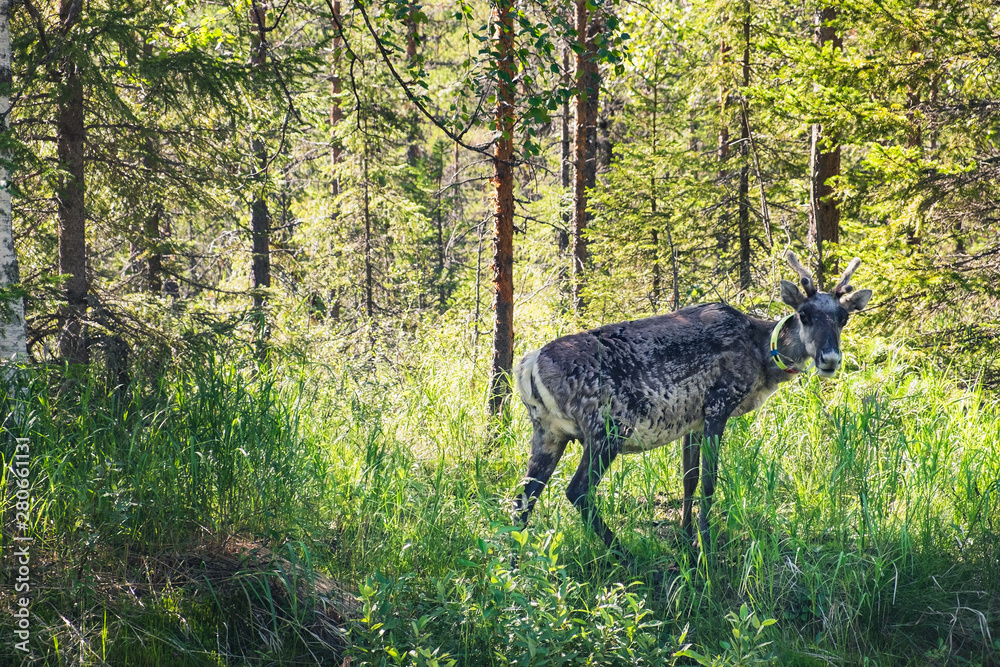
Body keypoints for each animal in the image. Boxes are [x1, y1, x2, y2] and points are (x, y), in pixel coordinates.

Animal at [512, 252, 872, 561]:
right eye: (804, 315)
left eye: (843, 318)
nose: (830, 359)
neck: (760, 355)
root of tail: (528, 366)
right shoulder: (719, 404)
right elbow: (710, 481)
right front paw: (704, 544)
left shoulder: (692, 421)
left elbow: (690, 478)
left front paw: (686, 537)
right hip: (606, 429)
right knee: (577, 491)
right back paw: (623, 553)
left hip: (547, 433)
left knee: (522, 499)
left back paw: (516, 566)